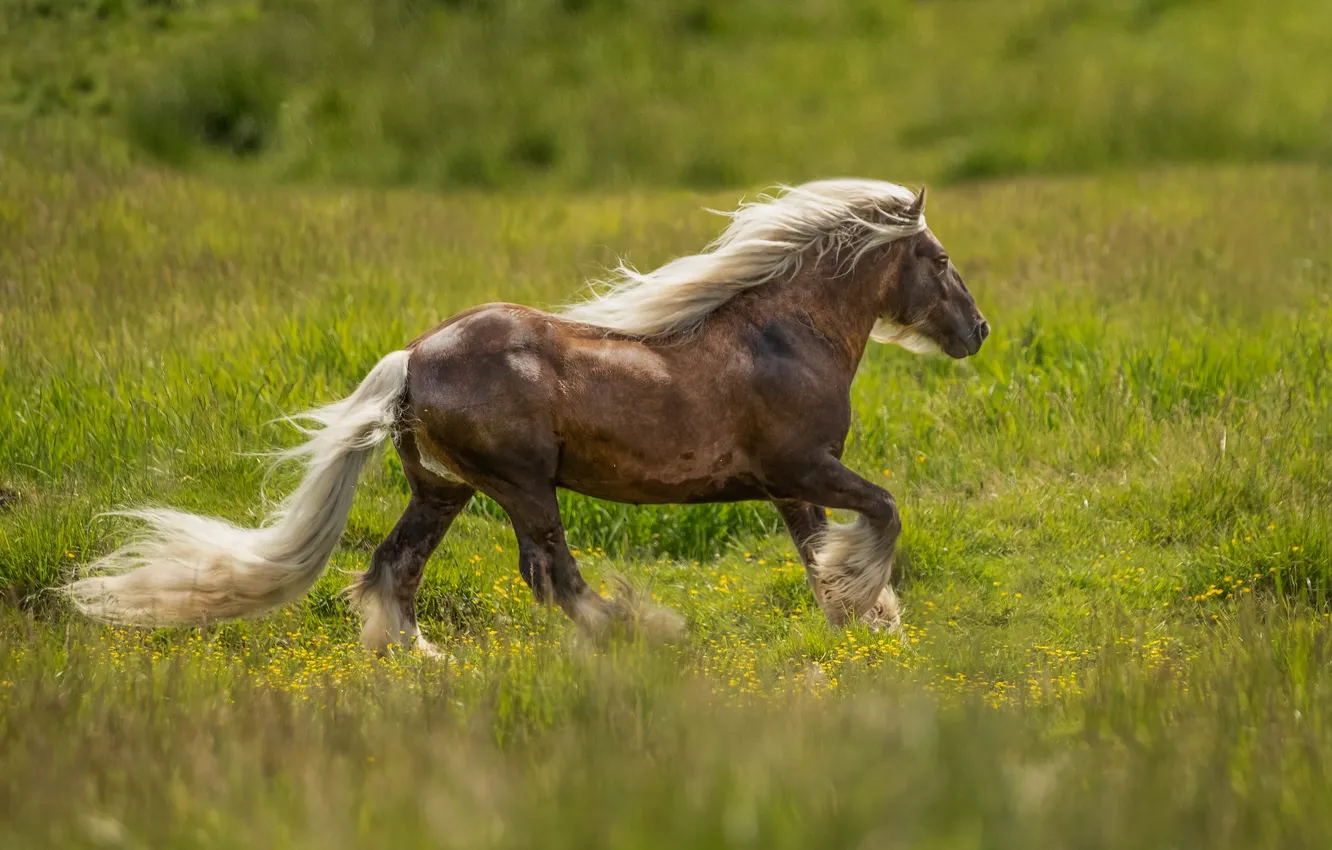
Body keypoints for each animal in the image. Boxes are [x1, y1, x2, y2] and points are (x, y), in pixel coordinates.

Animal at [64, 179, 991, 655]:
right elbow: (882, 513)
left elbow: (817, 555)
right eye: (940, 257)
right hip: (522, 485)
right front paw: (871, 609)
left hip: (445, 491)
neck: (782, 337)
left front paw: (860, 619)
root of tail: (413, 357)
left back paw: (426, 661)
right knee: (552, 576)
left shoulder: (789, 486)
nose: (976, 331)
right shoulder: (802, 468)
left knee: (392, 569)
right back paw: (646, 631)